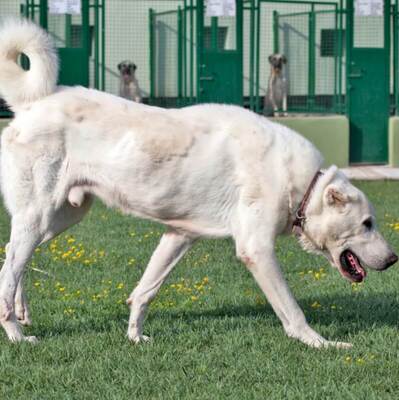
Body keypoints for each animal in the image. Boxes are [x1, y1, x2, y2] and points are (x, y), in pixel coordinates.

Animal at [0, 19, 396, 346]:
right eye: (367, 223)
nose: (393, 259)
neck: (302, 186)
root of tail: (32, 104)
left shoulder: (179, 235)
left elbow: (145, 290)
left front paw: (135, 336)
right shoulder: (257, 250)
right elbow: (292, 310)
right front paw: (321, 344)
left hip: (59, 219)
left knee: (12, 259)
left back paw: (23, 310)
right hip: (39, 217)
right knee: (9, 269)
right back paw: (16, 334)